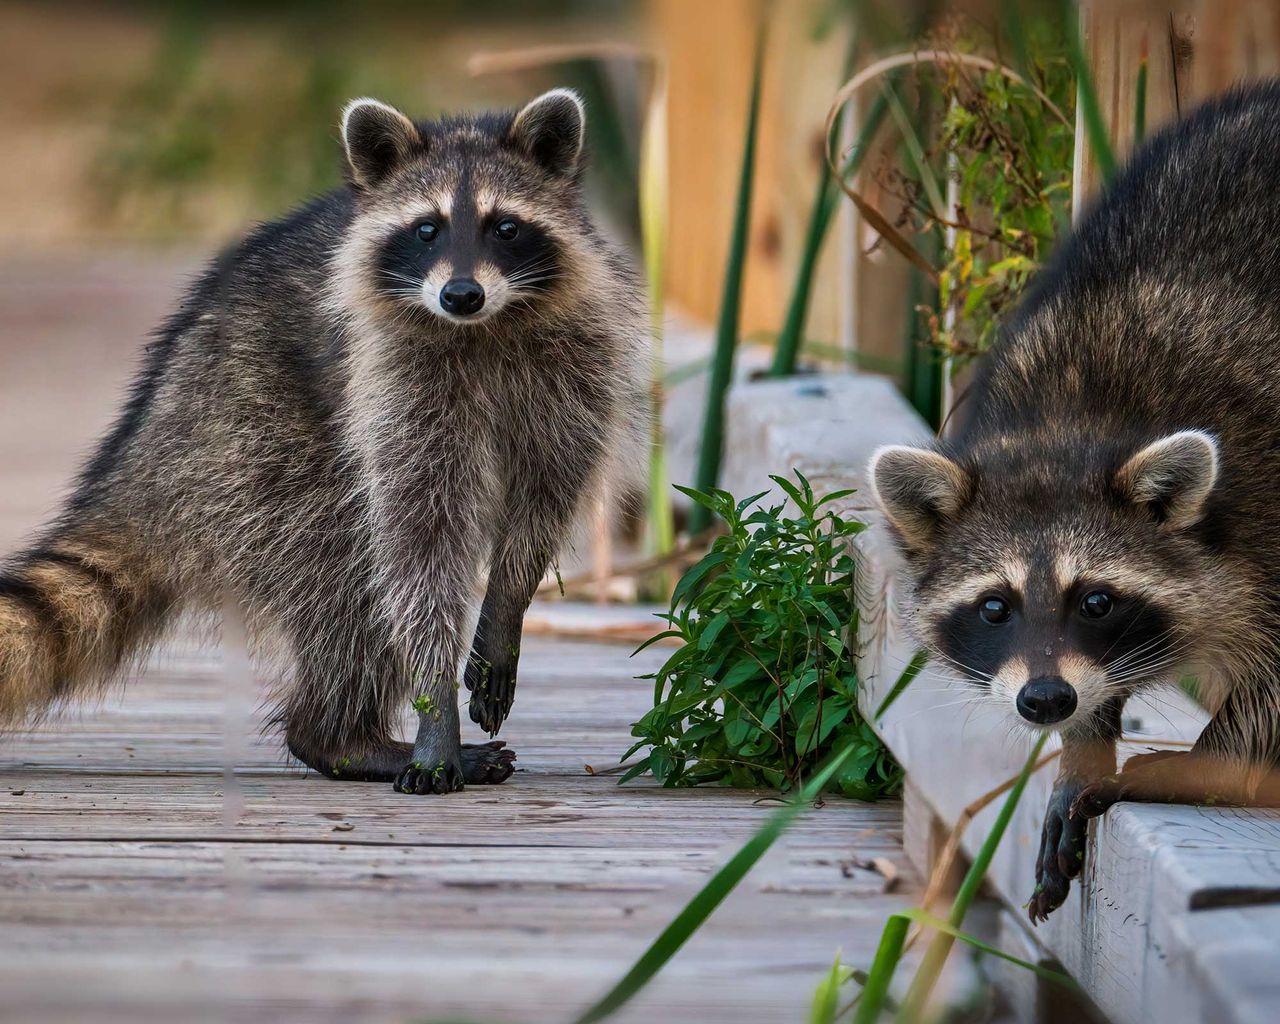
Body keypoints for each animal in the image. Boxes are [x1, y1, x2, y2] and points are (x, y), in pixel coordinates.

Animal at [0, 89, 645, 795]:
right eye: (427, 229)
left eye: (505, 227)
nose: (461, 294)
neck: (484, 327)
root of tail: (149, 445)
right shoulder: (391, 381)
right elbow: (420, 542)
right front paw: (435, 707)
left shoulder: (579, 361)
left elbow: (544, 497)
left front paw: (505, 606)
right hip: (260, 449)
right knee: (348, 581)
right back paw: (341, 737)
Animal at [870, 82, 1280, 921]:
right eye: (994, 606)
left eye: (1095, 601)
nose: (1046, 700)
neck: (1073, 420)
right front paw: (1084, 746)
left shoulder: (1268, 492)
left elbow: (1274, 686)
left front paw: (1212, 764)